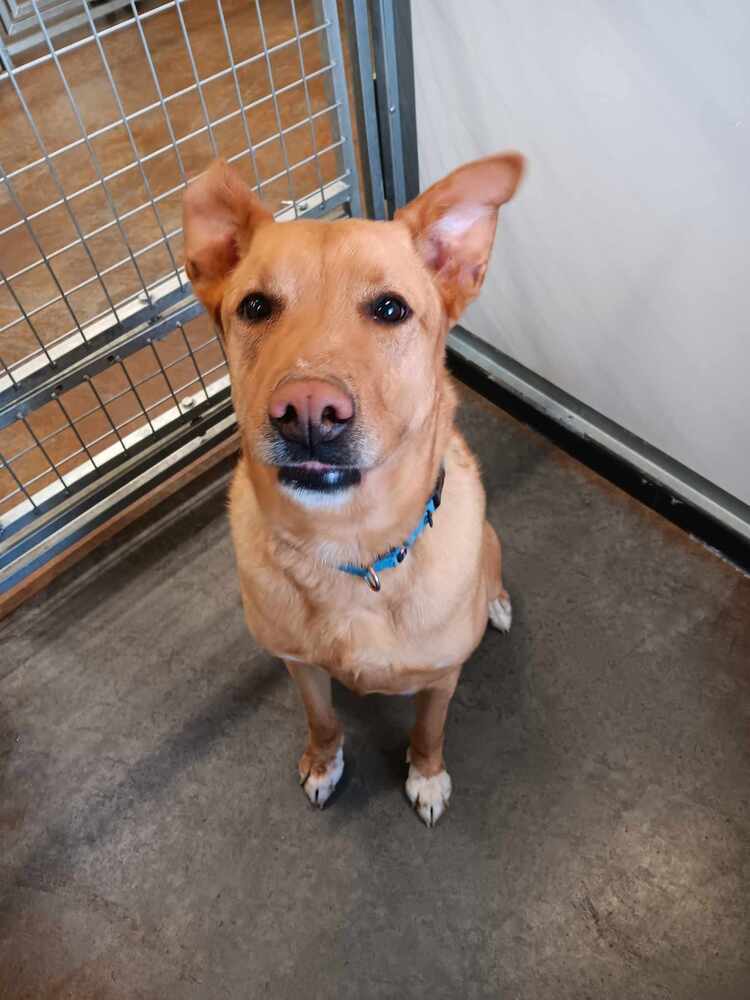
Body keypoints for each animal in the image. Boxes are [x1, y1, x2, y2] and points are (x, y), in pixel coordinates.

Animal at [182, 154, 524, 828]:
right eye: (255, 306)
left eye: (391, 309)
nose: (308, 412)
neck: (350, 545)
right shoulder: (300, 667)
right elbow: (322, 720)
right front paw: (323, 764)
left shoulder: (441, 679)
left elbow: (430, 731)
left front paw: (426, 777)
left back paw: (496, 603)